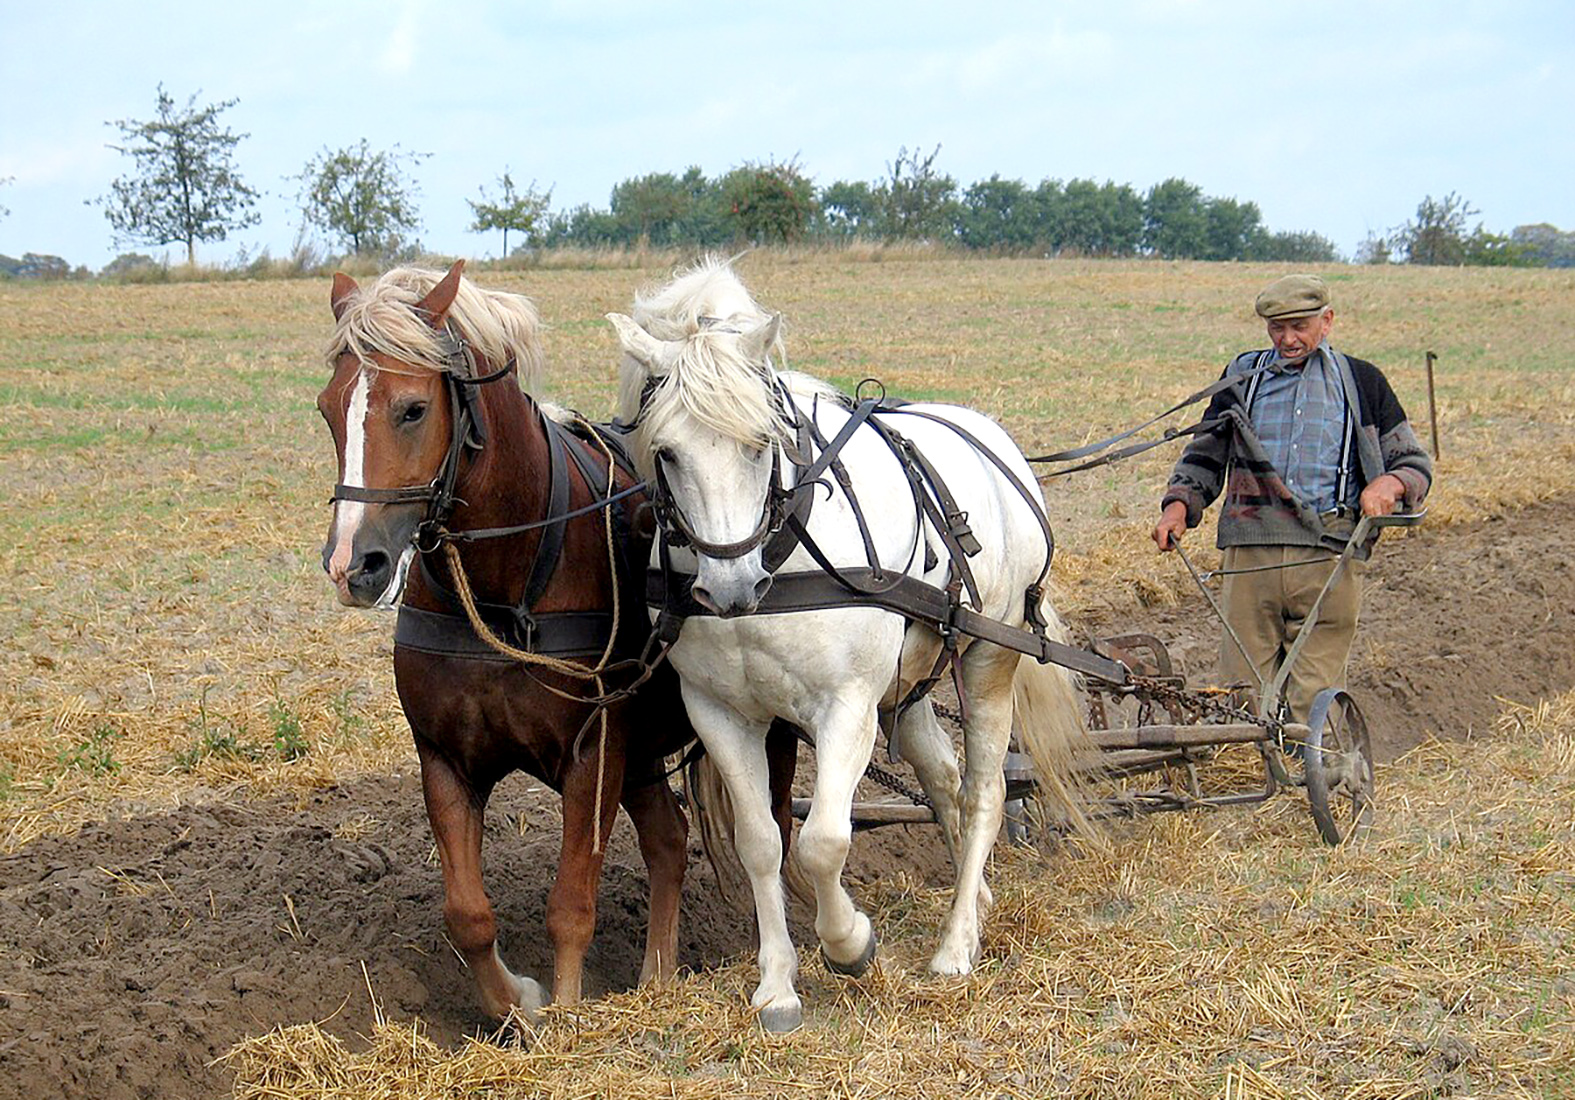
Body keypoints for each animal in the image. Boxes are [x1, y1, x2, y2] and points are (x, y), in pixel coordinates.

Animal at [313, 261, 696, 1014]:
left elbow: (571, 903)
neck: (501, 589)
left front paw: (569, 1013)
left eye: (413, 408)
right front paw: (514, 1002)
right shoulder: (444, 759)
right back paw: (656, 979)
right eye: (327, 406)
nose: (351, 565)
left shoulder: (594, 755)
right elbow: (467, 914)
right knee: (669, 842)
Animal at [607, 258, 1089, 1027]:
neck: (778, 555)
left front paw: (850, 944)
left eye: (760, 443)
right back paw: (976, 898)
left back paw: (956, 944)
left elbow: (824, 842)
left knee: (983, 790)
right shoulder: (719, 712)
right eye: (666, 452)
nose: (730, 587)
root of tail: (996, 444)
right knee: (942, 776)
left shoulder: (847, 707)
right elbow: (762, 843)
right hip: (910, 682)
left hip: (990, 656)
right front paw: (777, 985)